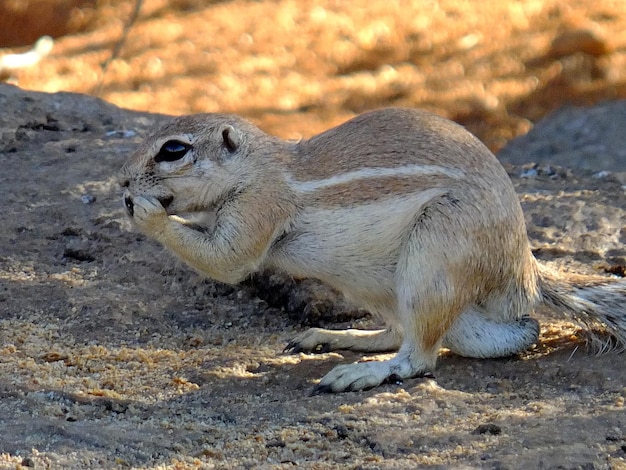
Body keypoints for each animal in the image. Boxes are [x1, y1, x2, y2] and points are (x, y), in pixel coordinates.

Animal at [118, 107, 624, 392]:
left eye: (173, 150)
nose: (122, 180)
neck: (259, 167)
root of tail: (524, 275)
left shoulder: (259, 206)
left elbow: (229, 260)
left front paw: (145, 211)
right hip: (375, 283)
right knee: (402, 333)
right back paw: (336, 338)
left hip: (432, 256)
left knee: (419, 356)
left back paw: (364, 373)